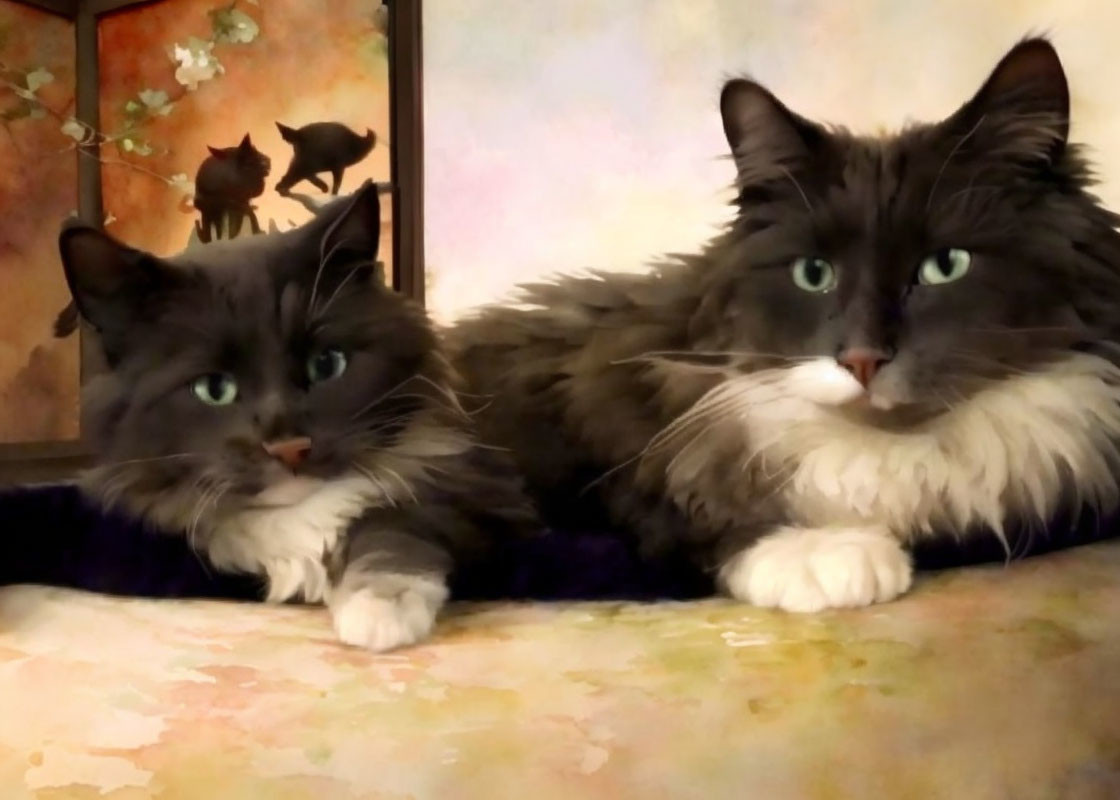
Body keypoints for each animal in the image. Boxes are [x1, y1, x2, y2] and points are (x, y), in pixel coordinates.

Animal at [60, 179, 533, 649]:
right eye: (214, 389)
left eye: (326, 364)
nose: (288, 445)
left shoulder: (485, 491)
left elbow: (396, 518)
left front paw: (380, 607)